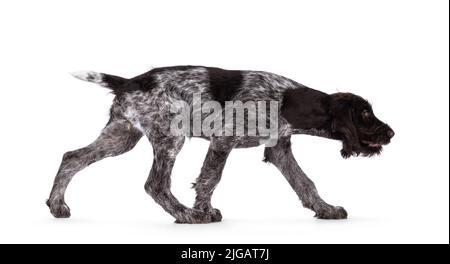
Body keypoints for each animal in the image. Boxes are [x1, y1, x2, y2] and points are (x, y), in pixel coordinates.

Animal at [47, 65, 396, 223]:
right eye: (366, 113)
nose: (391, 133)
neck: (286, 100)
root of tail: (131, 80)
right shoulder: (223, 140)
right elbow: (209, 179)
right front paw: (203, 211)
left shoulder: (279, 149)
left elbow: (305, 183)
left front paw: (325, 209)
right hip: (169, 137)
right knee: (155, 184)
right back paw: (186, 214)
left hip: (120, 137)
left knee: (71, 157)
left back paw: (57, 205)